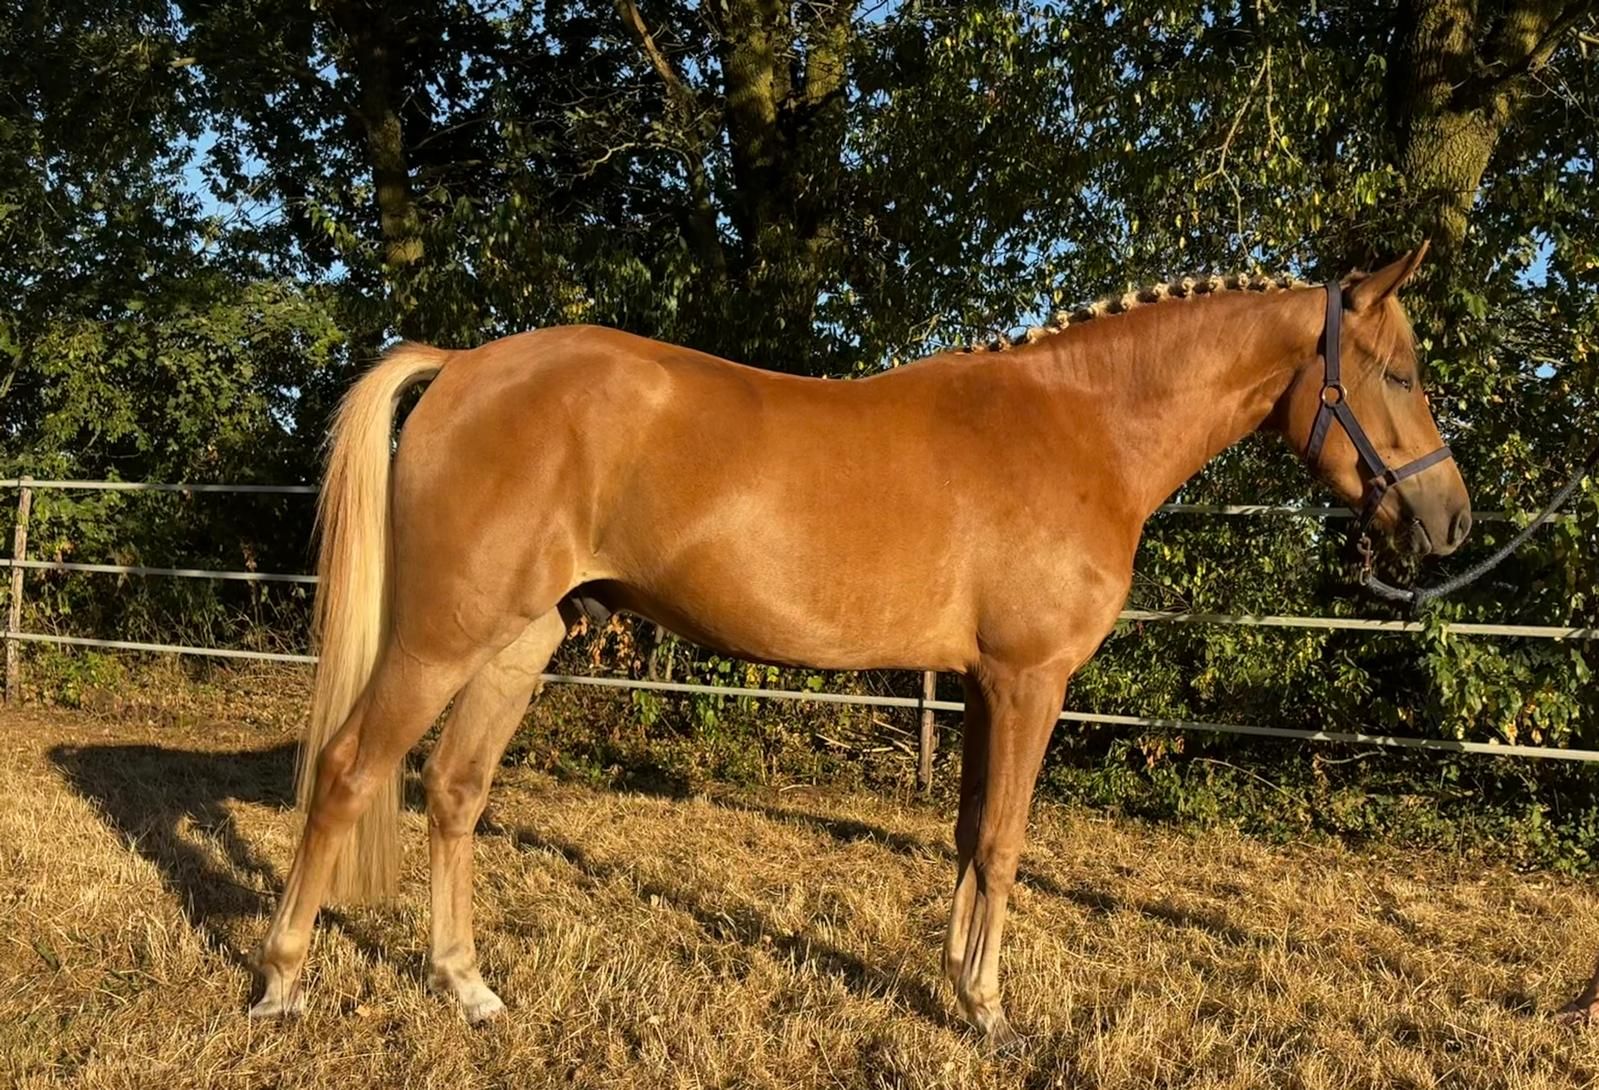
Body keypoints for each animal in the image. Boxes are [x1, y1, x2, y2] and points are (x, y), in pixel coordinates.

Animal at [248, 246, 1472, 1049]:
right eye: (1401, 372)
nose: (1451, 520)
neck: (1082, 426)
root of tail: (463, 365)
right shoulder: (1030, 680)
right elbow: (1005, 844)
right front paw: (991, 1014)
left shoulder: (980, 686)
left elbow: (970, 833)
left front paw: (956, 988)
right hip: (442, 633)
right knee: (351, 768)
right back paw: (281, 983)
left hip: (521, 638)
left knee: (455, 790)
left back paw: (469, 989)